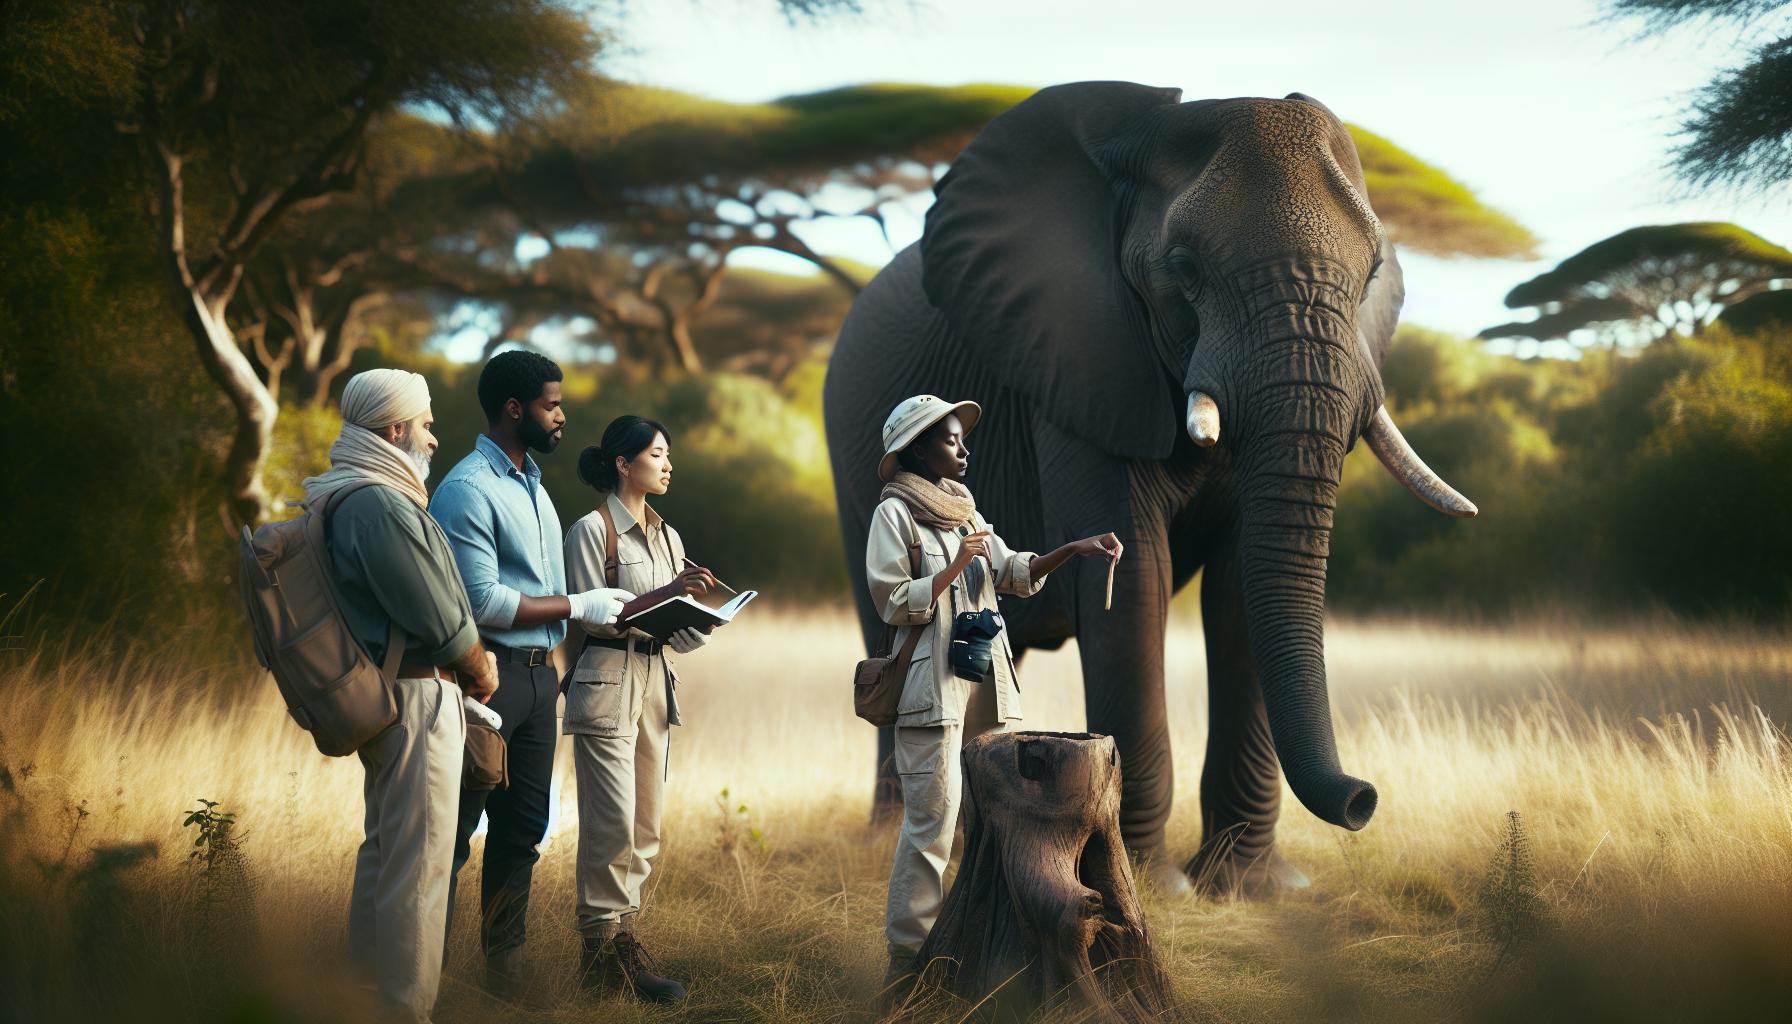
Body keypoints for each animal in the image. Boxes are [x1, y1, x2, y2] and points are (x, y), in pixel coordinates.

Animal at [823, 81, 1475, 896]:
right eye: (1184, 266)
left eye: (1372, 272)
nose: (1363, 800)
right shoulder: (1081, 364)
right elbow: (1138, 580)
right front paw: (1152, 885)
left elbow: (1238, 589)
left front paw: (1253, 888)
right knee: (892, 636)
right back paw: (892, 835)